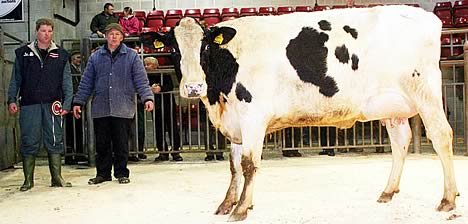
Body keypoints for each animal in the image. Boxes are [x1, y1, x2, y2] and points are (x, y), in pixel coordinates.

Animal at [141, 5, 458, 222]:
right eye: (173, 48)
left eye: (205, 46)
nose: (194, 86)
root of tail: (427, 17)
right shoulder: (236, 123)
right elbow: (234, 167)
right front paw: (229, 203)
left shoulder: (253, 116)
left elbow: (249, 164)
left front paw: (242, 208)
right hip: (393, 105)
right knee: (400, 141)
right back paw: (388, 191)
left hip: (426, 94)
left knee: (442, 137)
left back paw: (448, 199)